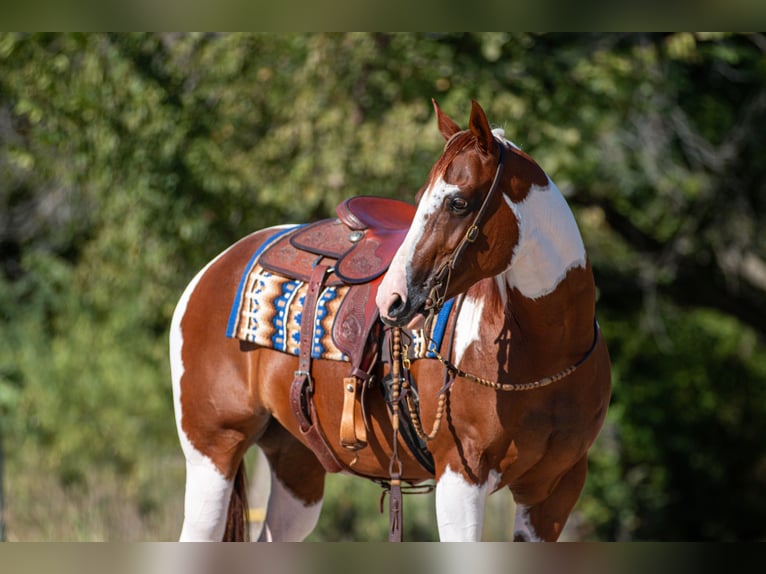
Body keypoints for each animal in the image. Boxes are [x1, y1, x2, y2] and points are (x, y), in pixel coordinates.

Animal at [168, 100, 612, 544]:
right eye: (419, 198)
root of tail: (214, 268)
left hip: (297, 468)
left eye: (458, 202)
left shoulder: (554, 492)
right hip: (212, 452)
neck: (546, 354)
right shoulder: (460, 478)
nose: (390, 298)